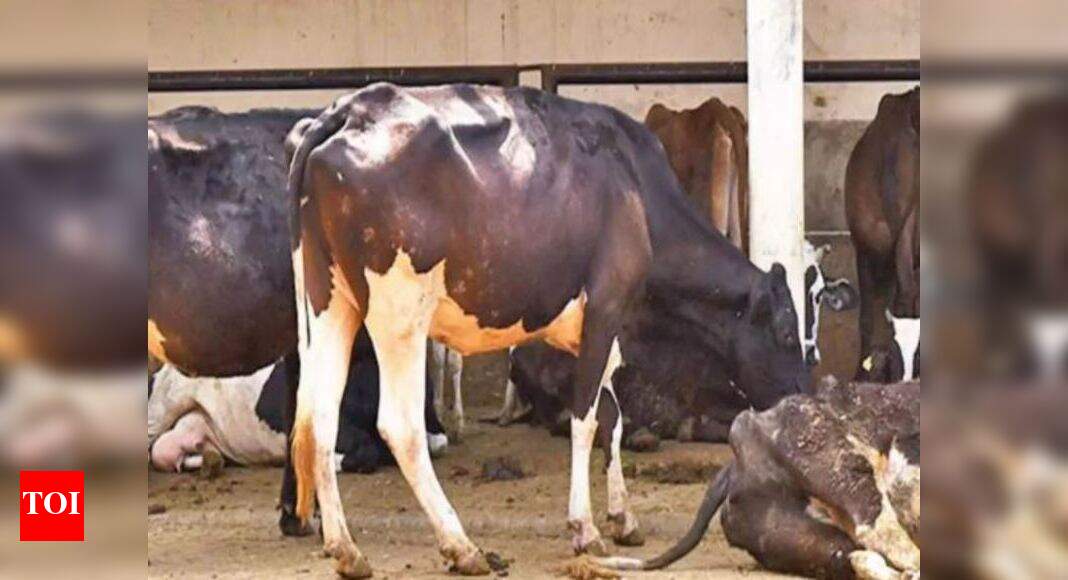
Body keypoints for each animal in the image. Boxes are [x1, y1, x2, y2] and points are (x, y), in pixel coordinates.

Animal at [285, 83, 807, 577]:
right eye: (786, 332)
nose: (799, 401)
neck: (638, 189)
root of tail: (350, 110)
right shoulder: (606, 308)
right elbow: (585, 418)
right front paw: (585, 528)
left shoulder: (595, 331)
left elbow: (612, 416)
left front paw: (623, 518)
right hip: (400, 311)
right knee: (401, 426)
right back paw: (461, 546)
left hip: (329, 302)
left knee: (319, 418)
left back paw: (346, 549)